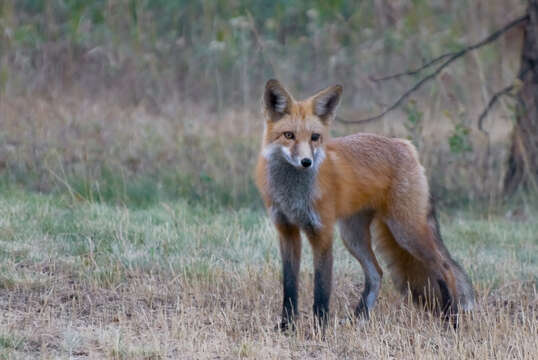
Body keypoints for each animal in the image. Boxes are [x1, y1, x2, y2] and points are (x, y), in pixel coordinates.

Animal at [253, 79, 472, 330]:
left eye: (315, 137)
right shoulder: (287, 231)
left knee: (445, 268)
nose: (306, 162)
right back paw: (358, 319)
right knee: (376, 273)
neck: (293, 193)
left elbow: (321, 289)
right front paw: (286, 326)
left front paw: (320, 328)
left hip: (406, 232)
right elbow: (289, 286)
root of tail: (404, 144)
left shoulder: (322, 233)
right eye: (288, 135)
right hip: (353, 236)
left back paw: (452, 319)